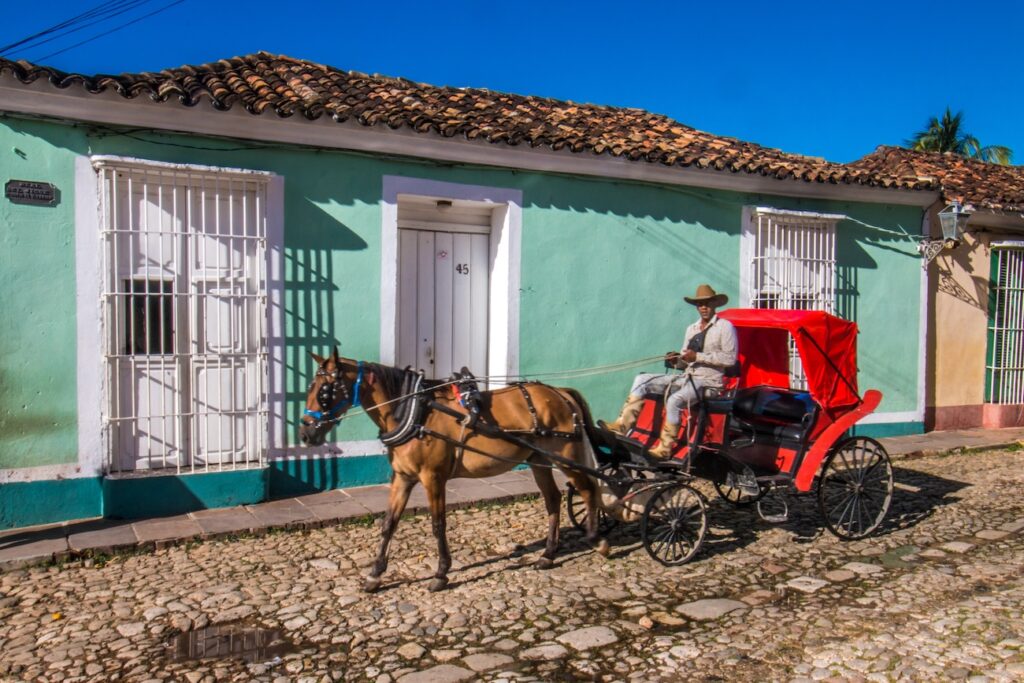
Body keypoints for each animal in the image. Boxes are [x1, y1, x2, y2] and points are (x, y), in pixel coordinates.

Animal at [299, 348, 610, 593]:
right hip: (538, 460)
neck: (414, 411)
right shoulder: (403, 478)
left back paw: (597, 539)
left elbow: (438, 524)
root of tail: (560, 393)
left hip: (565, 457)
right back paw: (548, 554)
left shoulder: (433, 477)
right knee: (554, 499)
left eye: (324, 392)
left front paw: (441, 573)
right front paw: (375, 575)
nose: (305, 433)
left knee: (588, 489)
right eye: (310, 388)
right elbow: (388, 524)